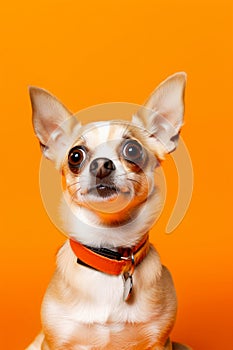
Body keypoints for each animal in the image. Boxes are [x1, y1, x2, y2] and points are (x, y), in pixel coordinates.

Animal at [26, 72, 191, 348]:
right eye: (75, 156)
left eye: (133, 150)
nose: (102, 164)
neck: (109, 251)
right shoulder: (54, 341)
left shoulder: (160, 341)